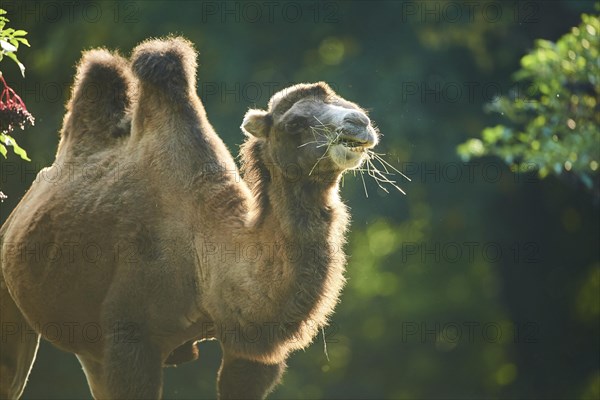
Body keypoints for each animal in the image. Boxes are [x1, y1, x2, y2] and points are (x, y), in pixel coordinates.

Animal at [0, 36, 380, 396]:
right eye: (296, 122)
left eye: (348, 105)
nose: (359, 123)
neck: (205, 261)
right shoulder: (129, 336)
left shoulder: (250, 355)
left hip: (88, 345)